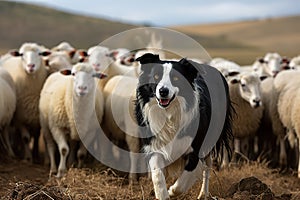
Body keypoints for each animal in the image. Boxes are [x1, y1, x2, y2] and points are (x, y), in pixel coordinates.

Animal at [135, 53, 232, 200]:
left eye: (176, 78)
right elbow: (158, 176)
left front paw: (172, 191)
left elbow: (184, 180)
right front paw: (163, 194)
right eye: (156, 76)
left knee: (207, 166)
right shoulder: (154, 146)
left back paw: (203, 193)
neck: (169, 114)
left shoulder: (196, 149)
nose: (163, 91)